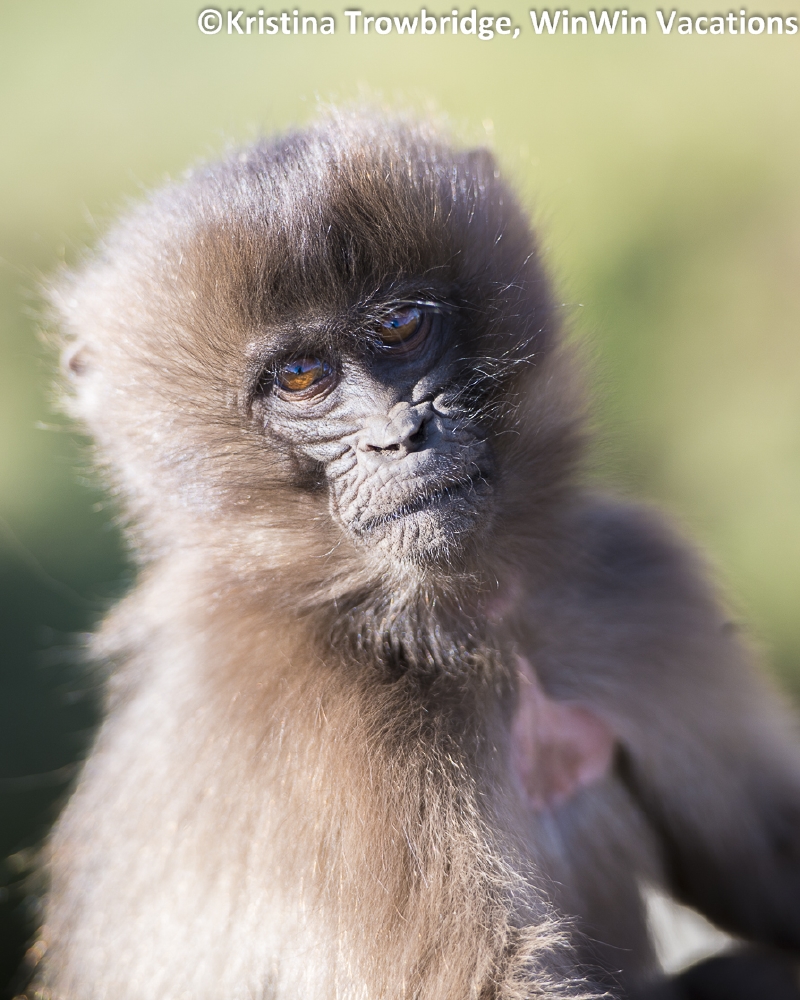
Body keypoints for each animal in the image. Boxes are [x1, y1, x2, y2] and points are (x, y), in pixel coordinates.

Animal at [30, 109, 800, 1000]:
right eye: (301, 375)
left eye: (401, 328)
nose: (401, 436)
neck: (461, 625)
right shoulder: (315, 721)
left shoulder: (632, 586)